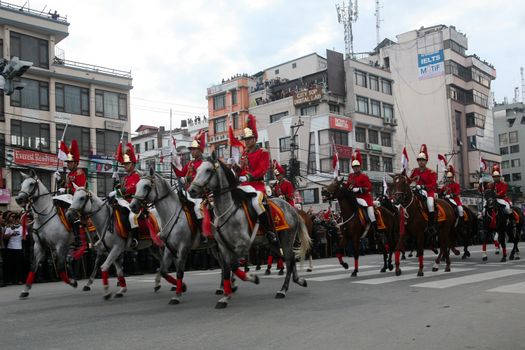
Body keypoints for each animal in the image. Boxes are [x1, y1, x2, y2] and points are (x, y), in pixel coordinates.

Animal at [188, 154, 312, 308]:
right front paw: (225, 296)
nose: (192, 190)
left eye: (208, 170)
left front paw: (250, 278)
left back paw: (283, 290)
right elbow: (227, 267)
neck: (227, 209)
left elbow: (233, 265)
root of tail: (292, 209)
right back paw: (298, 280)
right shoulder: (223, 247)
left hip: (287, 238)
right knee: (290, 259)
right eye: (197, 169)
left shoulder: (243, 244)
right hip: (274, 243)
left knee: (289, 260)